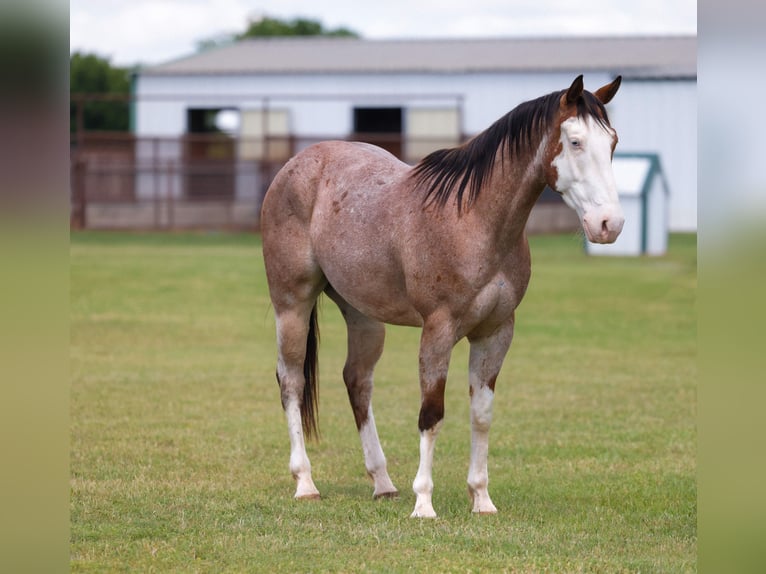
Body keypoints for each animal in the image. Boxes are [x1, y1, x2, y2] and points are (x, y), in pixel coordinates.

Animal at [261, 75, 624, 518]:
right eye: (574, 141)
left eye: (612, 141)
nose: (609, 224)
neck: (473, 220)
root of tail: (296, 165)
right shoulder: (438, 329)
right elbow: (431, 414)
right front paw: (424, 503)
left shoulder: (496, 332)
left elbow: (481, 414)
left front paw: (481, 498)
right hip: (291, 305)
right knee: (291, 381)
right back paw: (305, 482)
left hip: (363, 315)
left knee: (358, 382)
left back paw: (382, 482)